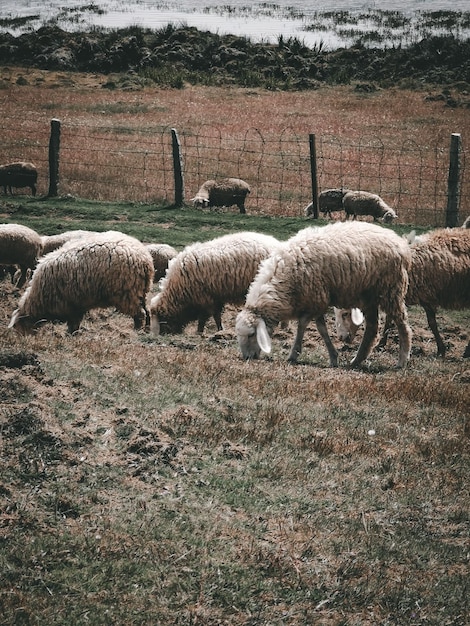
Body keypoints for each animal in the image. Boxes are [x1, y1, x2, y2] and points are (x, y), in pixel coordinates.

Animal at [8, 229, 154, 334]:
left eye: (19, 327)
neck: (39, 297)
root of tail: (145, 259)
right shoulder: (78, 303)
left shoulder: (71, 304)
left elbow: (73, 323)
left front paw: (71, 334)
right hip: (141, 291)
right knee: (147, 310)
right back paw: (147, 328)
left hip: (127, 293)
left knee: (139, 314)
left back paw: (136, 330)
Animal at [151, 230, 280, 336]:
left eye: (161, 320)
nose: (163, 334)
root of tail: (277, 245)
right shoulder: (215, 297)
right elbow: (216, 315)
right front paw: (219, 330)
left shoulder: (205, 298)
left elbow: (205, 317)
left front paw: (201, 331)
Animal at [235, 219, 412, 366]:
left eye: (251, 334)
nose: (247, 358)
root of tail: (400, 244)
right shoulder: (316, 300)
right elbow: (322, 329)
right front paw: (333, 357)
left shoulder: (316, 299)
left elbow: (303, 325)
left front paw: (293, 354)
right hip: (369, 295)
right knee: (372, 328)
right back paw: (356, 360)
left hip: (391, 289)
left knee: (402, 324)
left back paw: (402, 360)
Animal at [336, 227, 470, 358]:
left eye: (345, 314)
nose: (341, 338)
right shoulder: (395, 294)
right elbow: (389, 321)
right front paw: (381, 344)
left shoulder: (423, 295)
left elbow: (432, 323)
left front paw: (441, 349)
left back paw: (466, 351)